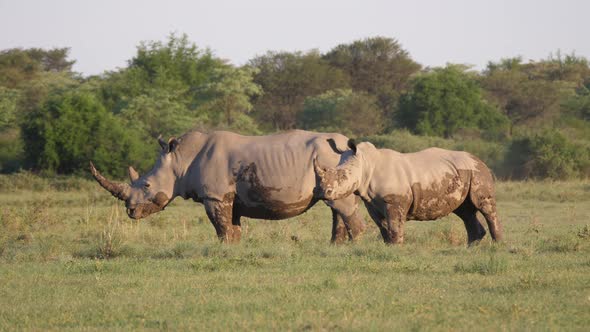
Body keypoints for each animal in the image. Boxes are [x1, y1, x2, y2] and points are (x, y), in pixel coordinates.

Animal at [89, 131, 366, 243]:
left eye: (147, 184)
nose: (130, 212)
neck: (180, 160)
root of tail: (348, 146)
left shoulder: (215, 196)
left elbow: (221, 228)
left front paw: (224, 250)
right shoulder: (229, 197)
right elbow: (233, 228)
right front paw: (235, 250)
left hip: (331, 160)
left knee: (340, 205)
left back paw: (354, 246)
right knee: (338, 206)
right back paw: (336, 247)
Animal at [314, 139, 504, 245]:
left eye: (343, 175)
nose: (323, 192)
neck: (366, 163)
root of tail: (479, 160)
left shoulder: (394, 201)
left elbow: (395, 226)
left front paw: (396, 248)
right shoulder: (372, 203)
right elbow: (384, 227)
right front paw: (388, 247)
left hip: (478, 173)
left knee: (485, 206)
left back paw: (497, 246)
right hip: (463, 174)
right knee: (465, 211)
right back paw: (470, 248)